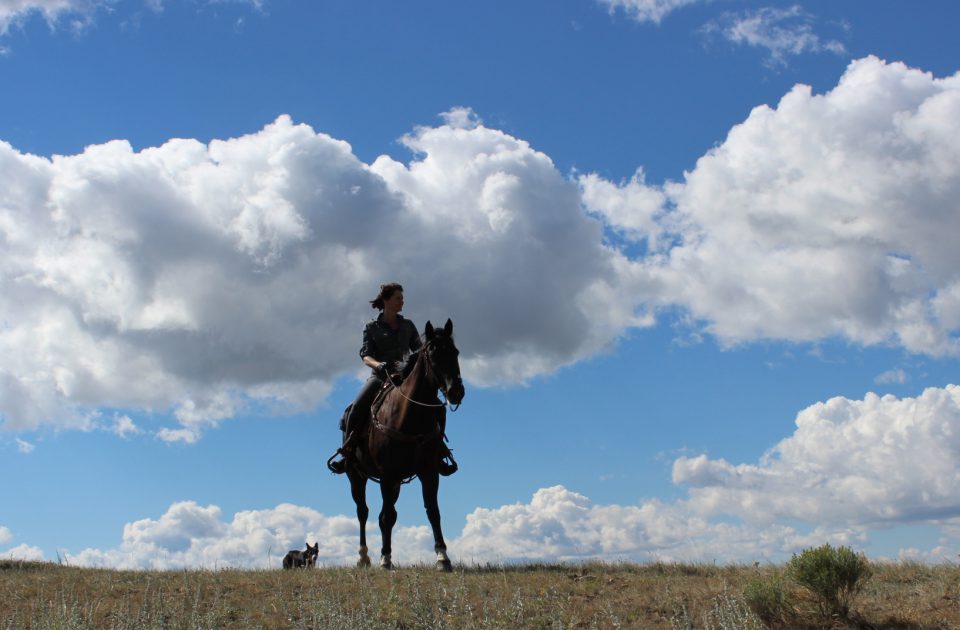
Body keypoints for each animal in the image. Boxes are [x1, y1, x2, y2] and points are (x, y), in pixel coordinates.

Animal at [342, 320, 464, 572]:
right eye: (433, 354)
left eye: (455, 352)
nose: (456, 392)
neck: (409, 415)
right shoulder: (387, 475)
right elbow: (386, 516)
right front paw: (386, 559)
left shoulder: (428, 472)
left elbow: (433, 511)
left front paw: (442, 557)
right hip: (356, 476)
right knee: (363, 512)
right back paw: (364, 557)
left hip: (396, 482)